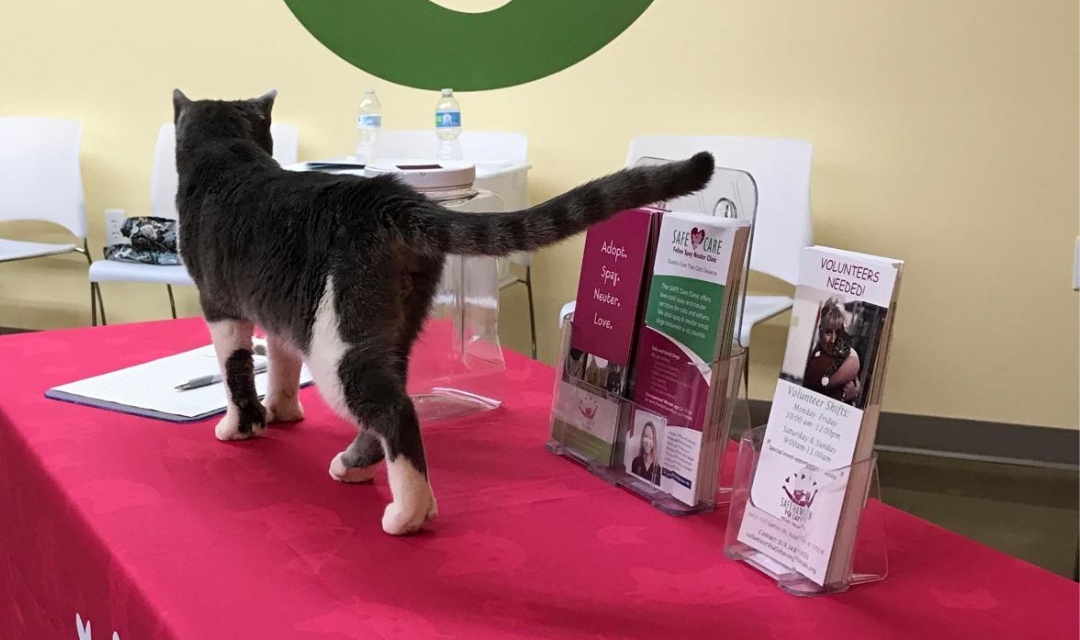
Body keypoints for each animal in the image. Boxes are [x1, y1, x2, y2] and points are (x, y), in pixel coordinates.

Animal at [170, 87, 717, 530]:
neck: (229, 155)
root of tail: (386, 196)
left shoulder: (220, 306)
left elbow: (236, 370)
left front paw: (241, 426)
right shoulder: (279, 310)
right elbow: (282, 362)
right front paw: (283, 412)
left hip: (336, 341)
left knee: (394, 408)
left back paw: (408, 513)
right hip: (395, 326)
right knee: (392, 398)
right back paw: (357, 467)